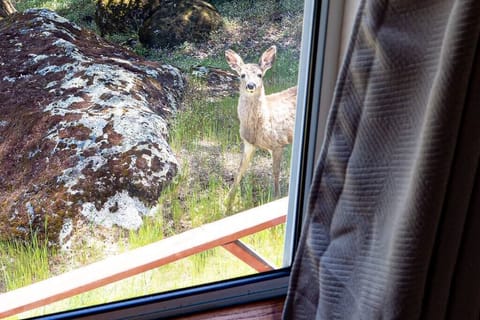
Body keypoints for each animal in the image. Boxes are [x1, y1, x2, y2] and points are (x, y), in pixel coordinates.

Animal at [224, 45, 296, 210]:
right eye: (242, 75)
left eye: (260, 75)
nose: (251, 85)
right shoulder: (248, 144)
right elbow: (239, 170)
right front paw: (227, 202)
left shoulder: (278, 143)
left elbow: (275, 172)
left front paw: (276, 197)